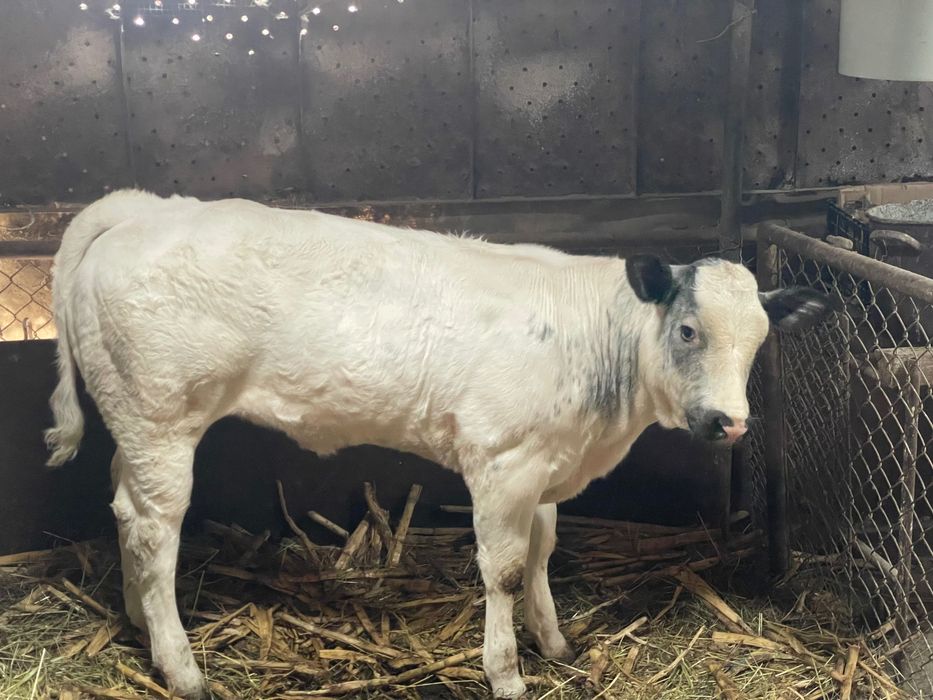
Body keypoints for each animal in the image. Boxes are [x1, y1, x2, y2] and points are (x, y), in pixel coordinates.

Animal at [45, 190, 835, 698]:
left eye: (760, 342)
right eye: (688, 330)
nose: (729, 423)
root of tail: (144, 208)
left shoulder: (543, 461)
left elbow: (544, 553)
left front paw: (554, 643)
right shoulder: (503, 462)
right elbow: (504, 571)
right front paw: (506, 672)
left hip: (134, 424)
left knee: (123, 507)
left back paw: (136, 622)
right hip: (162, 419)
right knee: (155, 531)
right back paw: (181, 667)